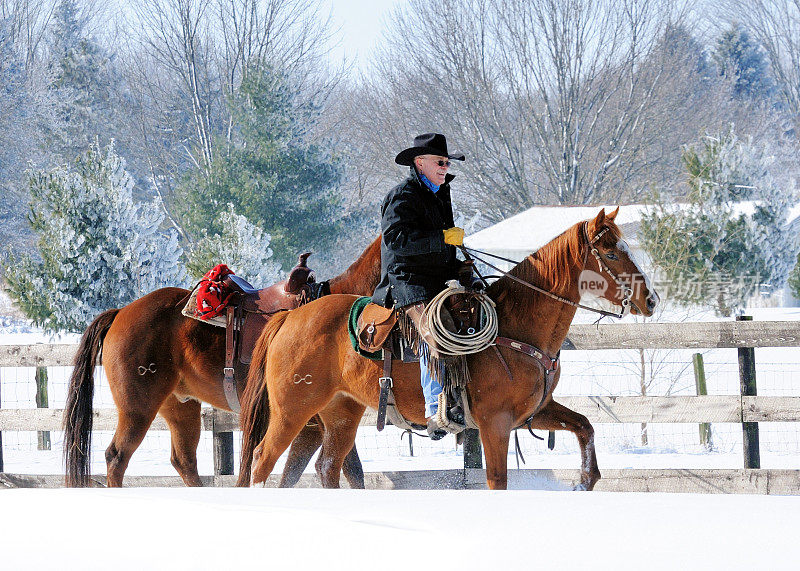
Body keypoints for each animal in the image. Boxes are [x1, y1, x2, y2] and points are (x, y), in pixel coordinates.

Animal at [62, 236, 382, 488]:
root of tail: (120, 312)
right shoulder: (313, 419)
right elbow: (333, 469)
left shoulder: (320, 420)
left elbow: (326, 471)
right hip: (137, 408)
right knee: (116, 457)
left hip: (180, 407)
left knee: (183, 461)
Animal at [239, 210, 664, 492]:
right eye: (612, 254)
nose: (652, 300)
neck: (516, 325)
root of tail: (289, 318)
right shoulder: (494, 423)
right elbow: (497, 479)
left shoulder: (536, 410)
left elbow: (585, 427)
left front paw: (584, 481)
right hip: (293, 409)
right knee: (262, 459)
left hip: (340, 410)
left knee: (329, 465)